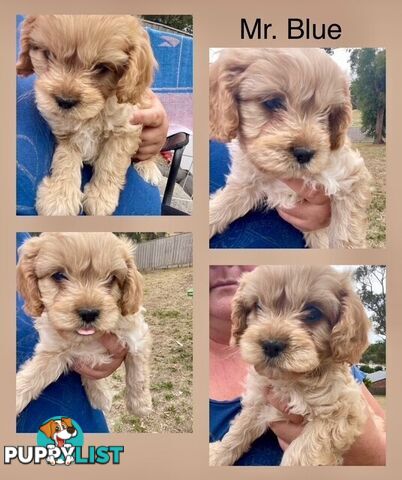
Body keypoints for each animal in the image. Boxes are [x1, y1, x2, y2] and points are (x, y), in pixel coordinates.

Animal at [15, 234, 152, 418]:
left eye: (112, 278)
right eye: (58, 275)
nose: (89, 313)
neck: (88, 339)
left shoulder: (136, 334)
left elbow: (137, 370)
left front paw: (140, 404)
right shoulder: (54, 350)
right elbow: (33, 374)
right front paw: (99, 395)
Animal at [16, 15, 162, 216]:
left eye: (102, 67)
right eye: (49, 54)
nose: (65, 101)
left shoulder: (125, 129)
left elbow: (111, 163)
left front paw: (101, 198)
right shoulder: (65, 131)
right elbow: (65, 159)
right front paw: (60, 197)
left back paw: (149, 168)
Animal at [209, 49, 372, 249]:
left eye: (327, 113)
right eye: (273, 103)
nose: (305, 153)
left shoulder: (351, 176)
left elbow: (346, 232)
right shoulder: (246, 183)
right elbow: (221, 206)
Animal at [212, 264, 372, 466]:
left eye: (313, 312)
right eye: (258, 306)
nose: (271, 345)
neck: (290, 381)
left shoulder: (342, 411)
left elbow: (303, 451)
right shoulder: (259, 402)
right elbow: (239, 429)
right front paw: (216, 455)